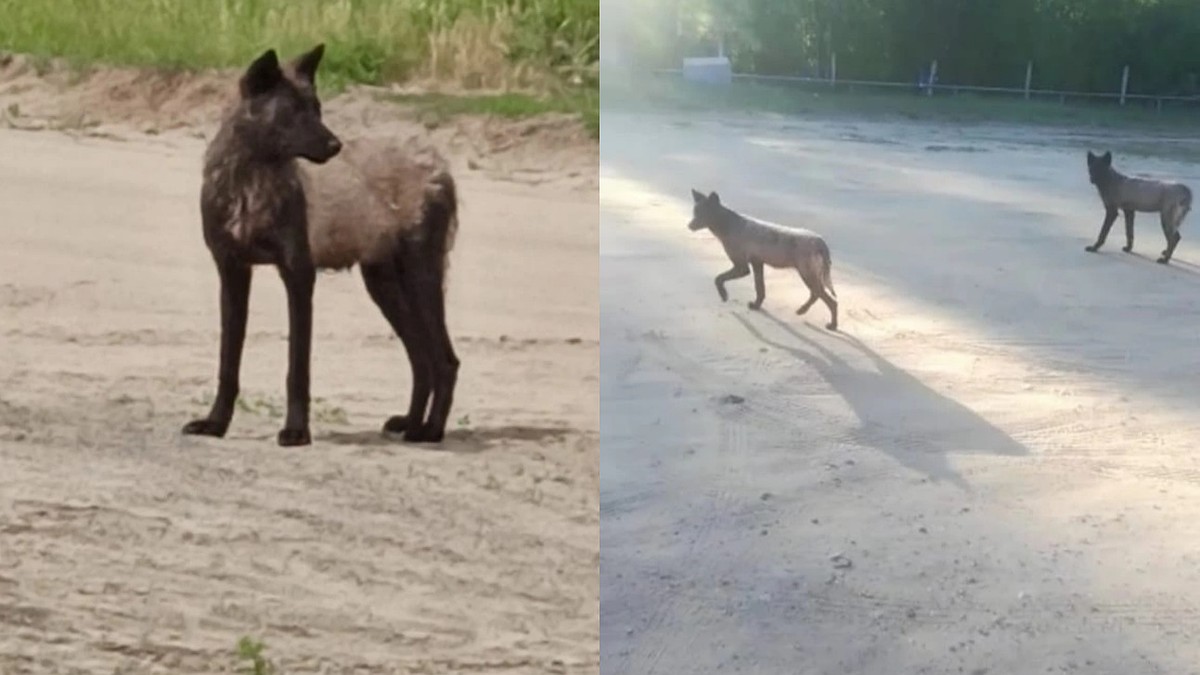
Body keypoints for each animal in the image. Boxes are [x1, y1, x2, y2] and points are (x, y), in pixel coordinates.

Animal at [691, 187, 840, 329]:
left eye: (702, 213)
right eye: (694, 212)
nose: (689, 225)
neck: (729, 224)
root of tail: (819, 241)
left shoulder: (741, 267)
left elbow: (718, 278)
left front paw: (723, 295)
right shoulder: (757, 263)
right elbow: (760, 288)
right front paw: (757, 305)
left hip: (807, 274)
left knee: (830, 301)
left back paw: (832, 325)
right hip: (811, 275)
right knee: (816, 295)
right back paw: (802, 310)